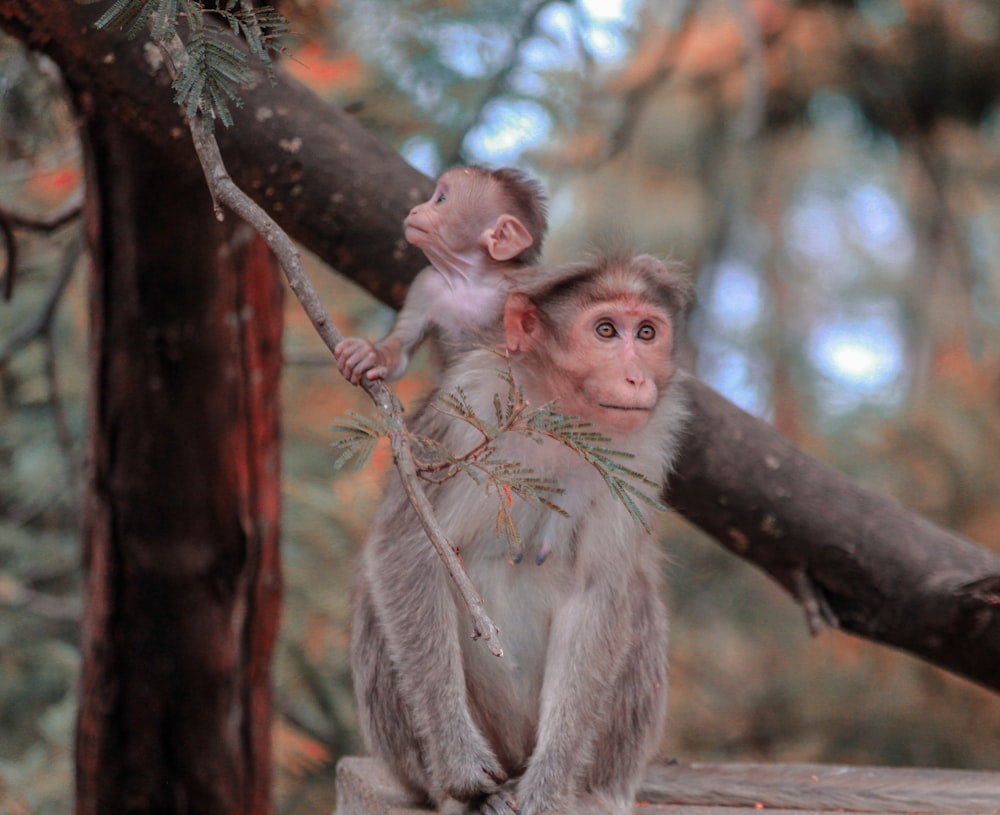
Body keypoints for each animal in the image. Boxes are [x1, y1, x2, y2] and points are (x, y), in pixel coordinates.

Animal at [336, 167, 548, 388]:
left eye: (441, 199)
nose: (415, 210)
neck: (471, 280)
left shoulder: (525, 282)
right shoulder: (425, 284)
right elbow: (401, 346)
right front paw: (369, 355)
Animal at [348, 252, 692, 812]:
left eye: (646, 332)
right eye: (605, 330)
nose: (637, 378)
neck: (556, 417)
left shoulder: (638, 454)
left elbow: (596, 593)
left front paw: (548, 789)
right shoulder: (463, 413)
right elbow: (408, 552)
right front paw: (459, 763)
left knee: (636, 600)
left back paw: (594, 793)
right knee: (379, 599)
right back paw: (460, 795)